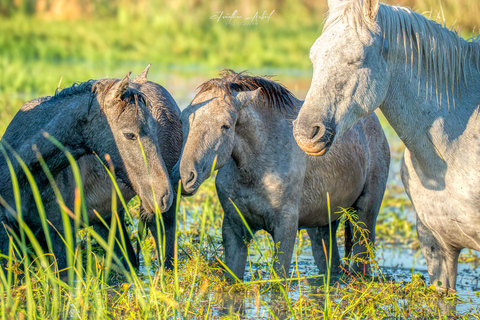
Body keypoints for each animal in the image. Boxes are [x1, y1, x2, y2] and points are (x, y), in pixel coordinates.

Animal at [172, 70, 390, 280]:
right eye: (182, 120)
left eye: (225, 125)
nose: (183, 177)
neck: (256, 171)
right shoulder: (234, 228)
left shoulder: (285, 228)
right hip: (322, 226)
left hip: (365, 215)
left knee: (361, 260)